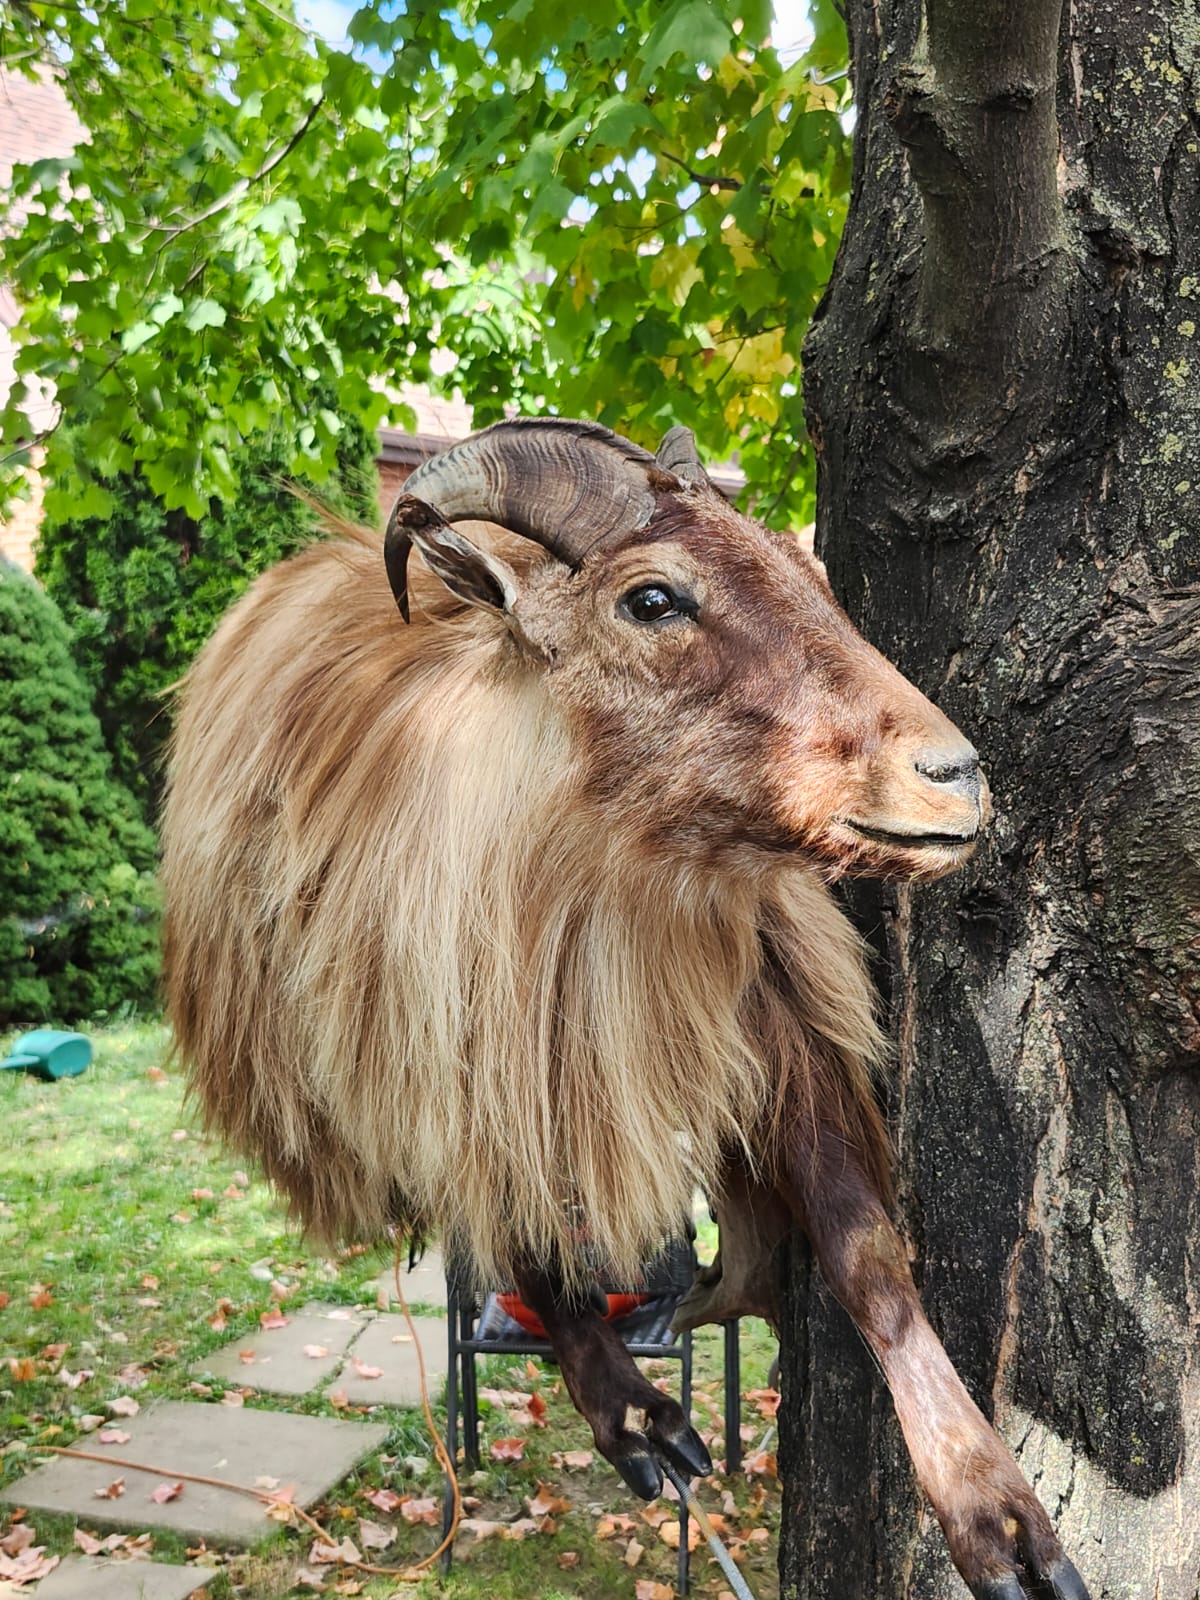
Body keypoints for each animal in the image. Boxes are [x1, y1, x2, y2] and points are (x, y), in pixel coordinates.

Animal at [162, 418, 1089, 1600]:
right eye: (652, 599)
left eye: (813, 577)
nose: (954, 774)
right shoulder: (470, 1080)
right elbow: (534, 1254)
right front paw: (641, 1423)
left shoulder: (774, 1025)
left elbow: (867, 1255)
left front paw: (999, 1519)